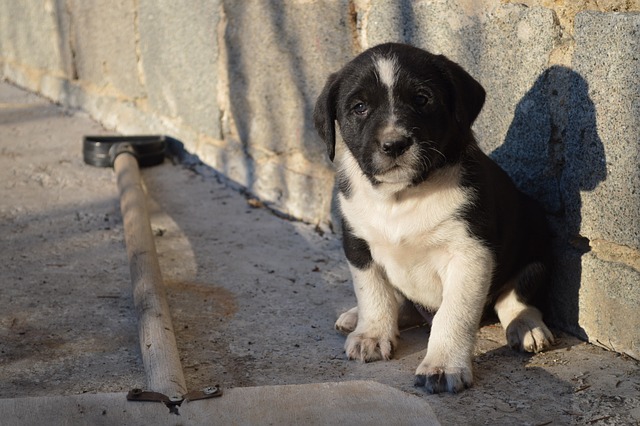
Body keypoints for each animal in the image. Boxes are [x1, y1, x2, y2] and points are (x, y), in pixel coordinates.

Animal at [312, 43, 552, 392]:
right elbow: (373, 292)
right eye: (359, 107)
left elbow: (454, 314)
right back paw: (356, 318)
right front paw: (372, 334)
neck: (402, 196)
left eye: (422, 99)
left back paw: (526, 326)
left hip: (536, 237)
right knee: (401, 302)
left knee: (515, 294)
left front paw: (443, 365)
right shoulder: (357, 243)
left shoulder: (470, 254)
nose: (394, 144)